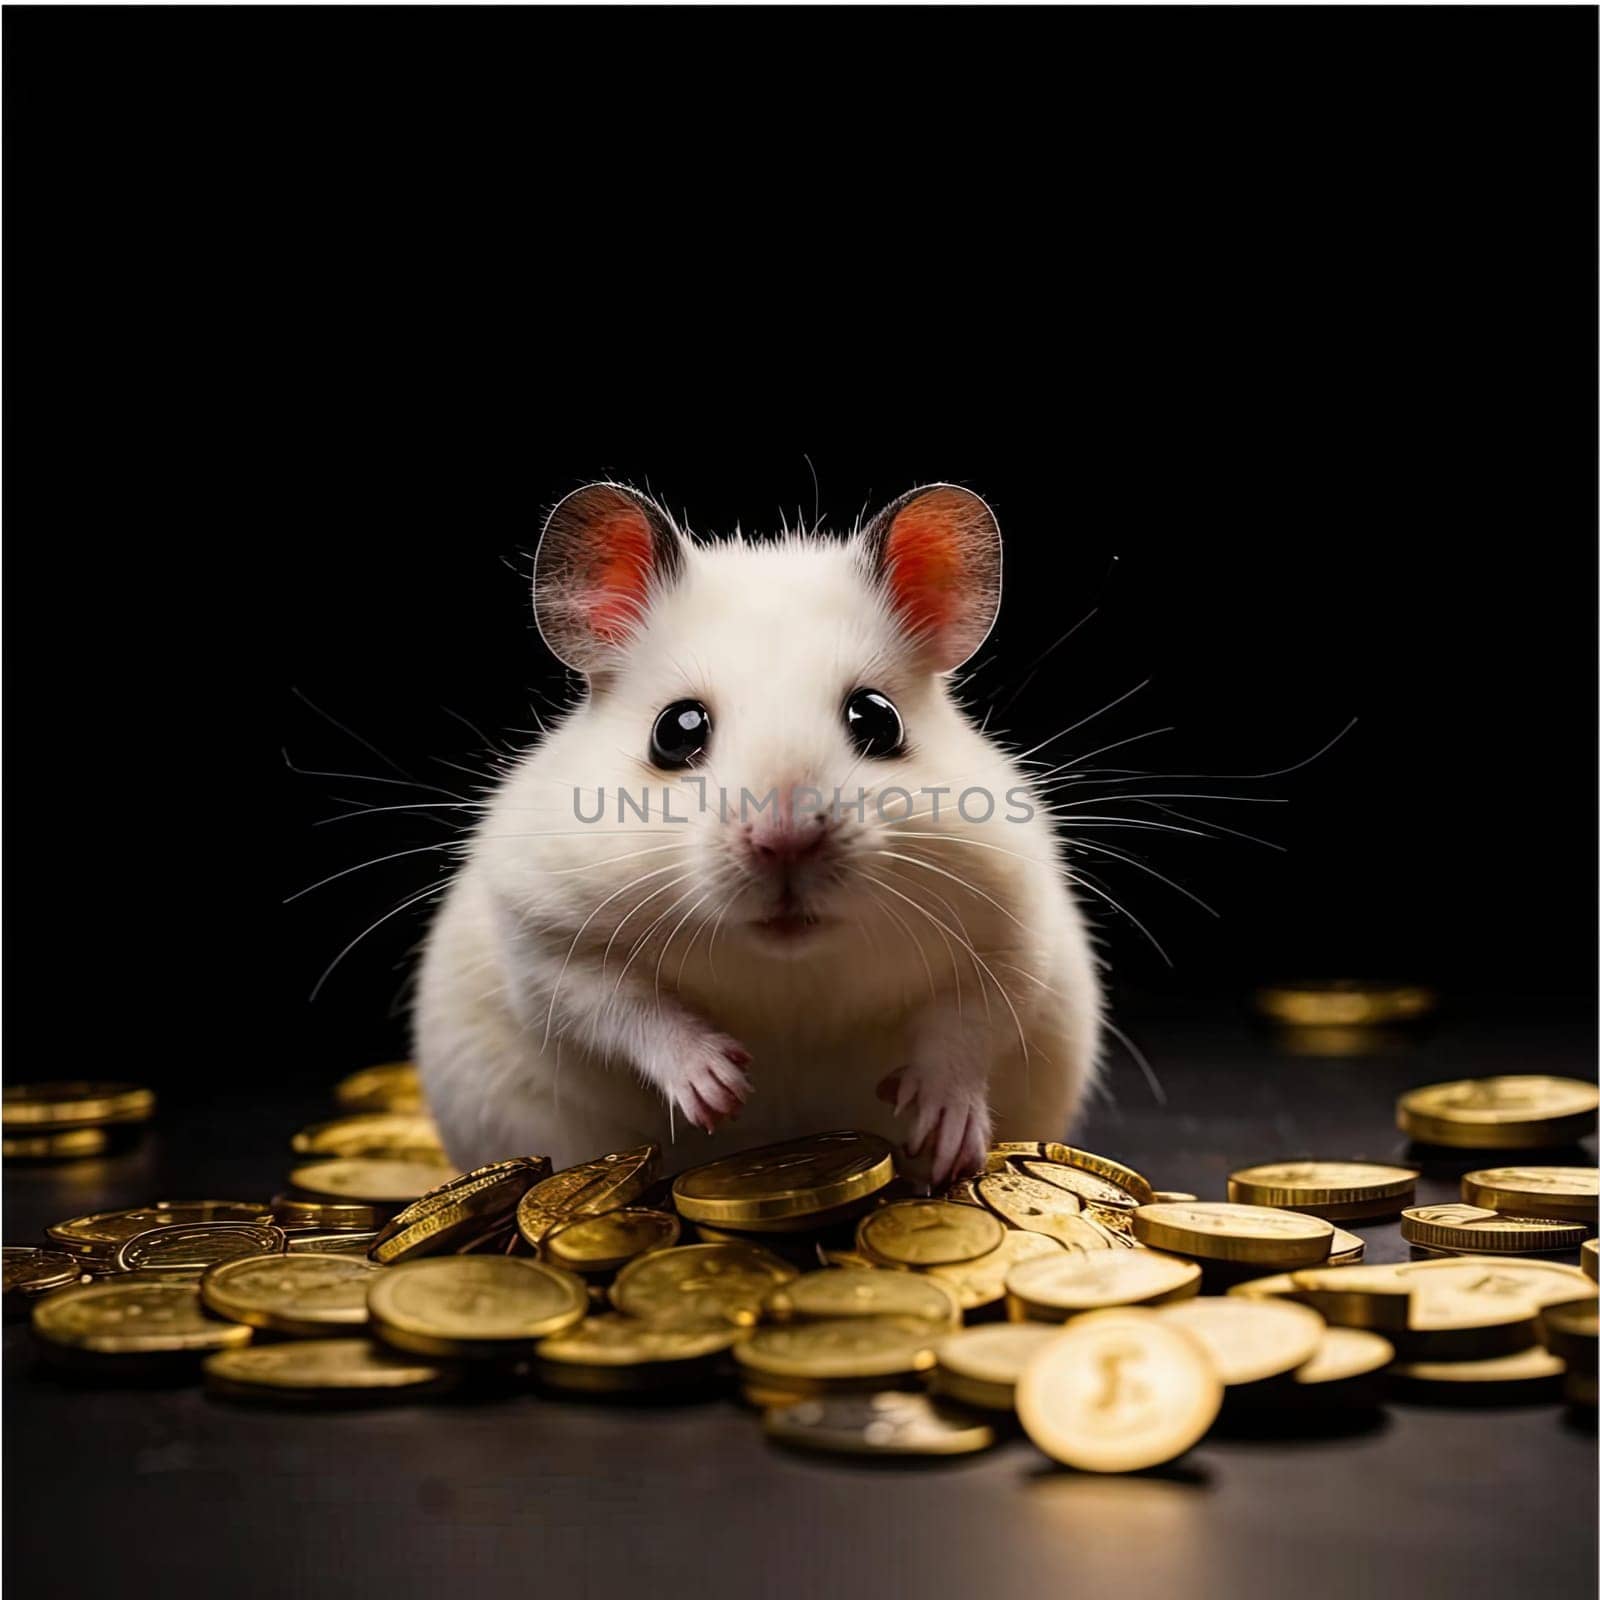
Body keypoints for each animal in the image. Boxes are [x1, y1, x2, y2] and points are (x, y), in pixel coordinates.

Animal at [416, 480, 1100, 1184]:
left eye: (878, 720)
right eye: (675, 730)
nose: (785, 843)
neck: (788, 964)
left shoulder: (1013, 927)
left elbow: (968, 1026)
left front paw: (947, 1140)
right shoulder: (545, 937)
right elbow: (622, 1007)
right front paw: (721, 1090)